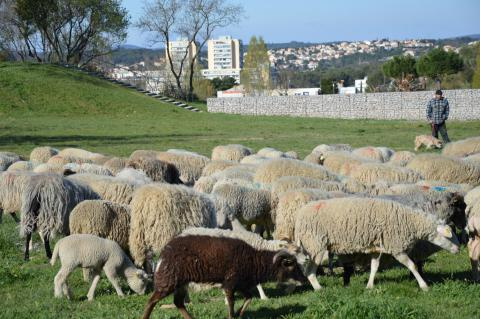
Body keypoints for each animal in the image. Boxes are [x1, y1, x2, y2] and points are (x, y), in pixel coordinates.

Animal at [142, 235, 304, 319]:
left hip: (181, 283)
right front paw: (233, 316)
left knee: (178, 302)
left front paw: (240, 314)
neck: (253, 260)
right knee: (151, 301)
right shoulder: (229, 283)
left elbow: (249, 297)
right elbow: (231, 303)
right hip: (169, 280)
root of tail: (164, 252)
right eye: (292, 266)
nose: (303, 281)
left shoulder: (240, 284)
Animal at [294, 199, 460, 292]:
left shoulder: (377, 247)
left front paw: (369, 286)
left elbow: (374, 267)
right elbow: (412, 266)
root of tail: (299, 216)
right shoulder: (396, 247)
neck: (410, 222)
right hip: (315, 245)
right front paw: (424, 286)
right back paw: (318, 288)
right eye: (450, 235)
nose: (458, 249)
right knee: (309, 270)